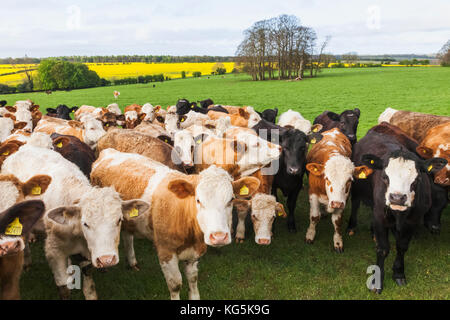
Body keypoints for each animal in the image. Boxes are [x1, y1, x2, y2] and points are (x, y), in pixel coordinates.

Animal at [0, 145, 149, 300]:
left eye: (119, 220)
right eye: (85, 223)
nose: (107, 259)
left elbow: (88, 282)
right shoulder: (54, 252)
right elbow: (63, 287)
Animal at [90, 149, 260, 300]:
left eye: (231, 199)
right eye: (198, 200)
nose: (218, 236)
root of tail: (109, 152)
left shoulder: (194, 253)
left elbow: (193, 279)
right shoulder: (166, 252)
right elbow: (175, 284)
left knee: (127, 235)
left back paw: (132, 262)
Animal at [344, 124, 446, 294]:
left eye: (417, 178)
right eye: (385, 176)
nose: (397, 198)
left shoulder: (412, 221)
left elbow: (402, 246)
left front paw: (398, 273)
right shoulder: (380, 216)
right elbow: (383, 249)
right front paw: (377, 281)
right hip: (358, 188)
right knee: (356, 203)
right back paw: (352, 226)